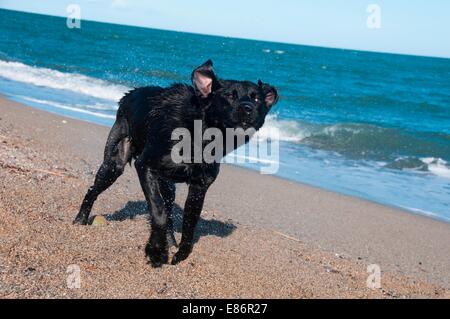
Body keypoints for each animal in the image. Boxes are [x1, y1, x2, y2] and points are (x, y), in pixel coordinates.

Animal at [74, 60, 278, 268]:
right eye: (229, 95)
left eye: (256, 99)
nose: (248, 108)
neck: (200, 134)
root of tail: (128, 94)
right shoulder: (145, 166)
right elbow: (158, 211)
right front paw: (156, 251)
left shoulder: (199, 186)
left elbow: (189, 223)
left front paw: (180, 254)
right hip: (114, 165)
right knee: (92, 191)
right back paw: (80, 220)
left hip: (167, 185)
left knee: (170, 210)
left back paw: (170, 242)